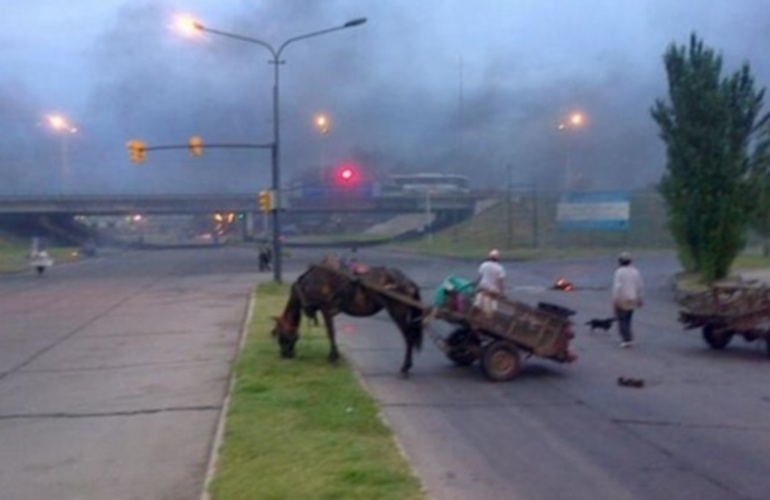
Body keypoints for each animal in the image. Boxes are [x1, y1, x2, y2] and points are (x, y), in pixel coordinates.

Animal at [272, 260, 426, 376]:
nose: (284, 354)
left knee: (409, 337)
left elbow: (331, 332)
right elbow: (331, 332)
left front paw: (333, 357)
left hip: (398, 313)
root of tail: (407, 281)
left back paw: (405, 367)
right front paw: (333, 356)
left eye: (280, 336)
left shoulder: (325, 308)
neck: (309, 283)